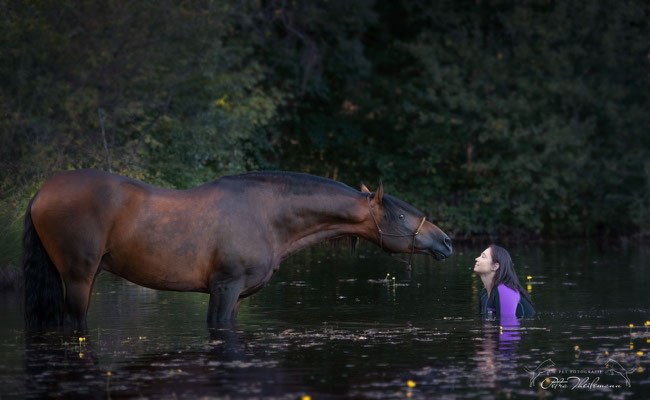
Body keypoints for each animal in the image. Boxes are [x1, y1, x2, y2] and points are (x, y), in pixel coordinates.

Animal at [24, 169, 450, 328]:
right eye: (400, 215)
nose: (445, 241)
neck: (268, 216)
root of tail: (41, 193)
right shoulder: (224, 288)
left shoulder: (238, 296)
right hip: (78, 278)